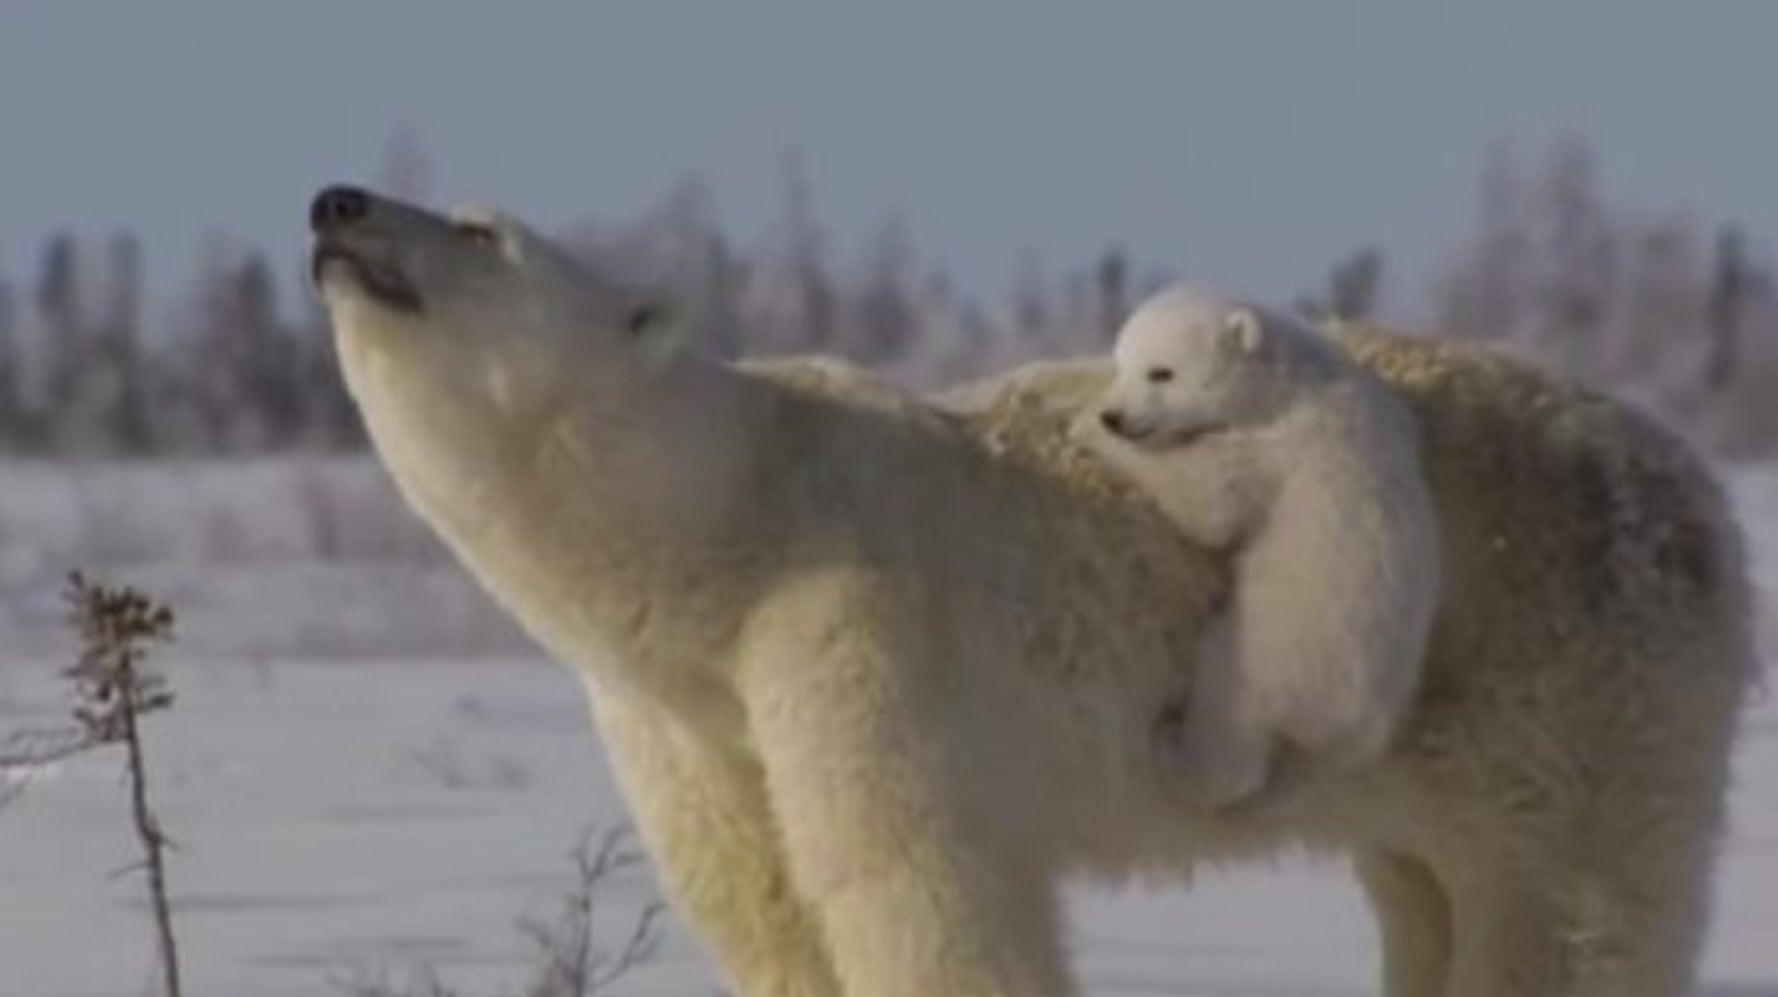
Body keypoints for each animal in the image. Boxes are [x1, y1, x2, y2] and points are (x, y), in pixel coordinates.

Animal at [302, 180, 1749, 995]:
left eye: (478, 226)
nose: (335, 203)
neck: (735, 514)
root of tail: (1697, 482)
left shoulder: (853, 624)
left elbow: (908, 884)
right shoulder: (682, 720)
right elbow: (766, 913)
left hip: (1574, 681)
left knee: (1569, 922)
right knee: (1425, 890)